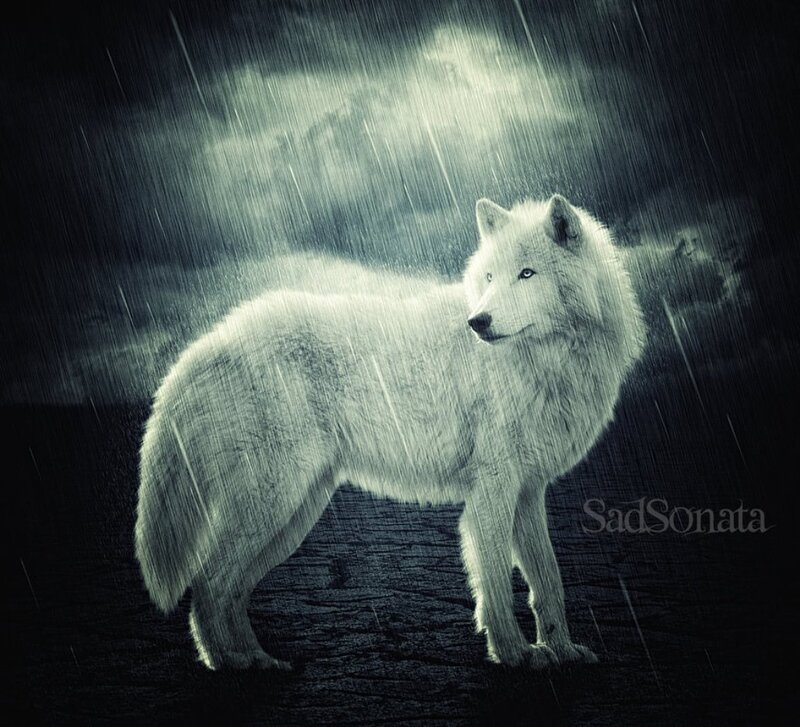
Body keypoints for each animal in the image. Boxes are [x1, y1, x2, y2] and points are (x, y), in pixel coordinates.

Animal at [135, 194, 645, 670]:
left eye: (526, 274)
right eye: (489, 278)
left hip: (293, 515)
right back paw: (229, 664)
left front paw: (561, 650)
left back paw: (256, 659)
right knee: (207, 585)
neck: (548, 361)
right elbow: (497, 582)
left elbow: (549, 583)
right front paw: (515, 654)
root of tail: (208, 343)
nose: (477, 322)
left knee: (228, 590)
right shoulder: (492, 489)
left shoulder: (529, 490)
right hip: (274, 502)